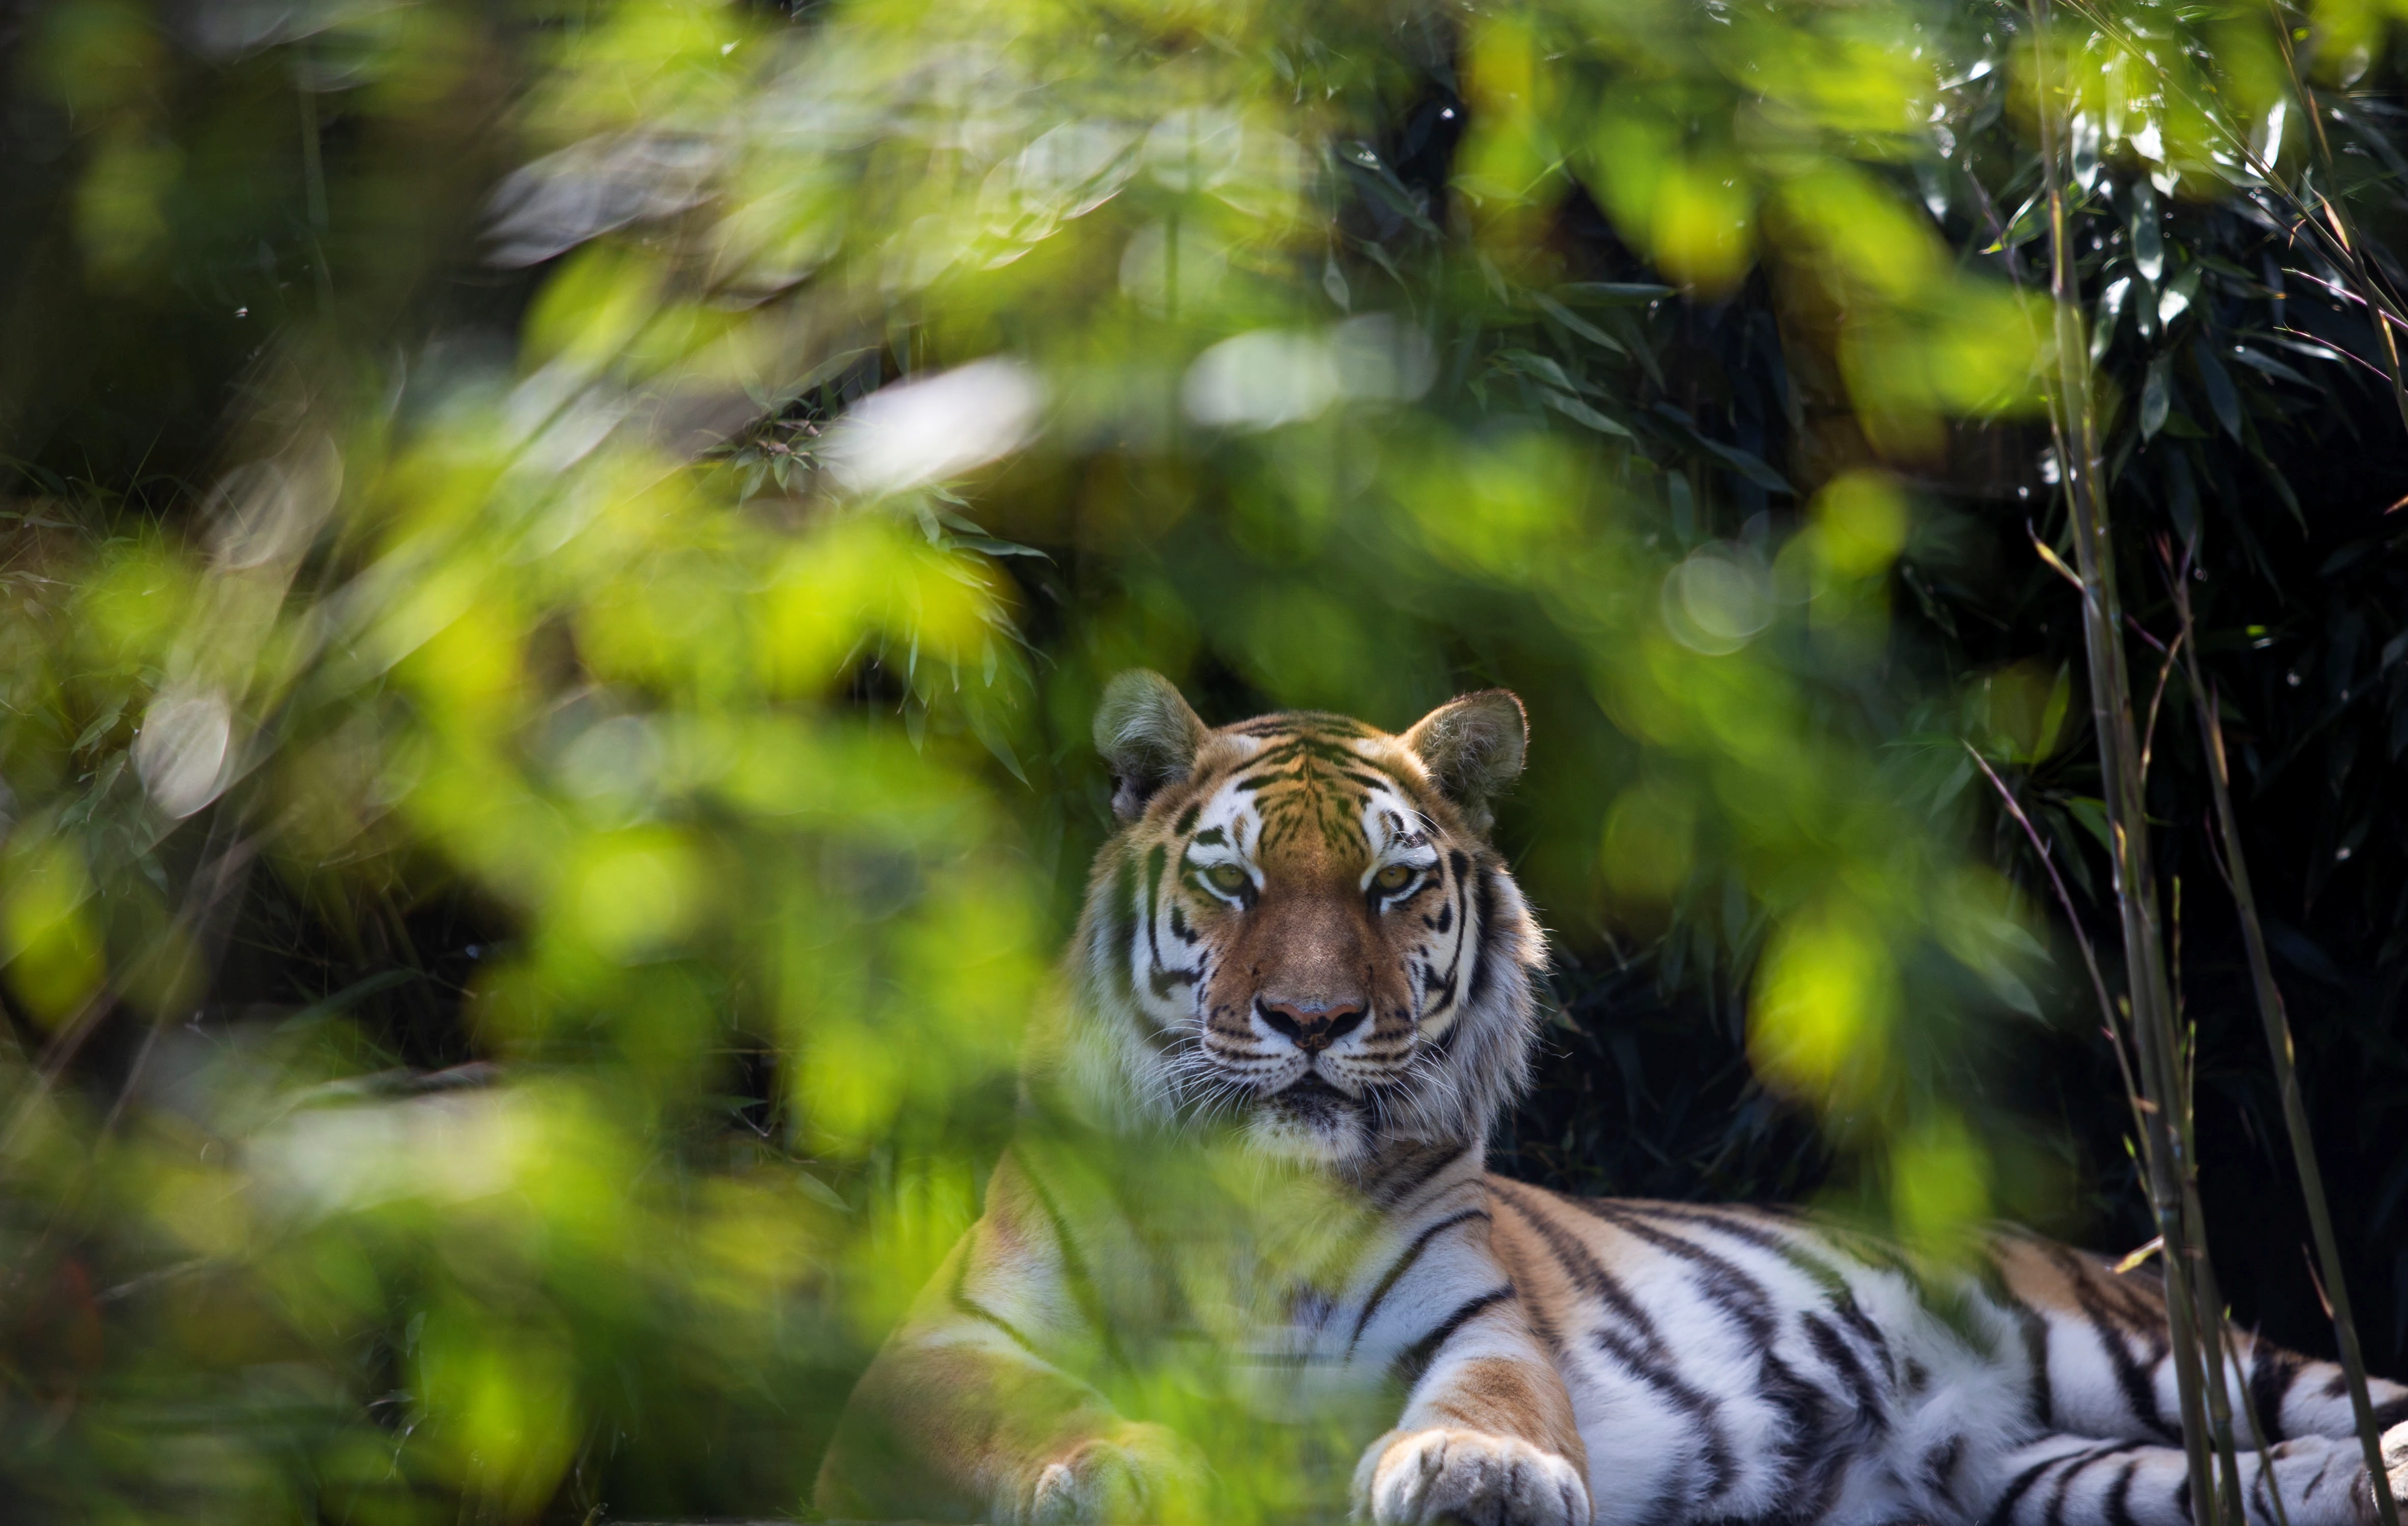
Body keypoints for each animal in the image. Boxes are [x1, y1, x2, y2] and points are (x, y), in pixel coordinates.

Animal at [818, 669, 2408, 1521]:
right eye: (1233, 881)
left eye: (1391, 884)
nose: (1315, 1020)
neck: (1257, 1202)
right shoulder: (944, 1337)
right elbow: (1018, 1406)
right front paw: (1120, 1464)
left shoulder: (1473, 1316)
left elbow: (1493, 1395)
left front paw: (1474, 1470)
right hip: (2051, 1473)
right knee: (2255, 1475)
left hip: (2131, 1346)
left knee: (2338, 1395)